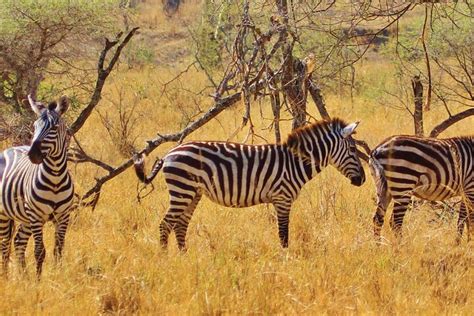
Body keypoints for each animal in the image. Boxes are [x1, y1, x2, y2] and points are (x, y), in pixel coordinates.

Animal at [0, 94, 74, 276]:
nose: (32, 155)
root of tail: (10, 148)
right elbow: (40, 251)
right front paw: (38, 280)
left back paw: (23, 275)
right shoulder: (36, 216)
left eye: (54, 127)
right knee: (4, 243)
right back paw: (6, 275)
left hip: (25, 217)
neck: (55, 179)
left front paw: (57, 275)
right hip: (5, 214)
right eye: (35, 126)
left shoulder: (63, 216)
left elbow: (58, 249)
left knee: (18, 240)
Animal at [133, 117, 366, 251]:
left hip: (193, 192)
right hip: (182, 189)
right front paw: (286, 261)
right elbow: (284, 235)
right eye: (353, 150)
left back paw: (184, 257)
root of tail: (169, 153)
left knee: (180, 225)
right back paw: (165, 258)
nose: (362, 180)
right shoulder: (282, 199)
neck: (295, 163)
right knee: (166, 224)